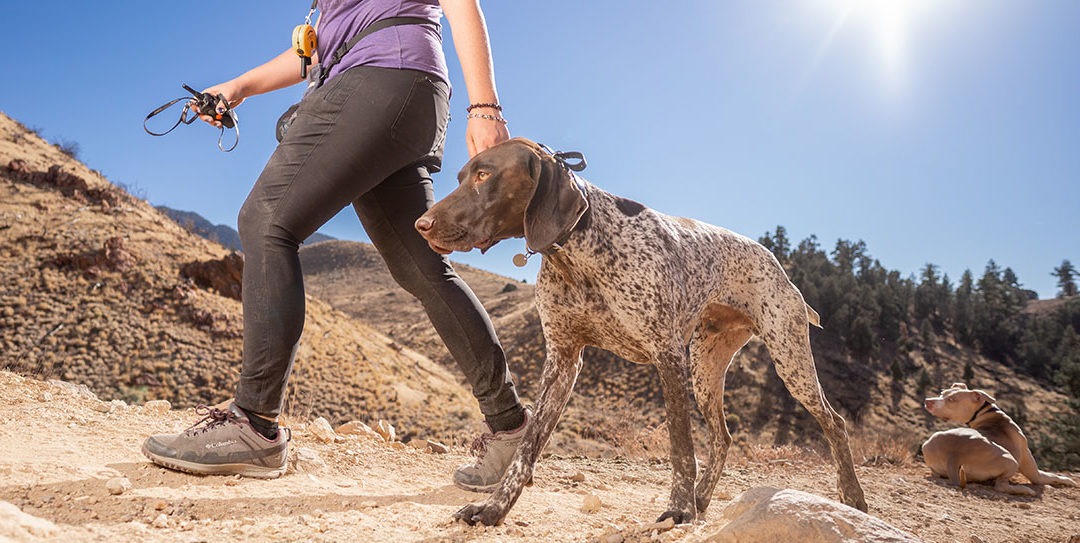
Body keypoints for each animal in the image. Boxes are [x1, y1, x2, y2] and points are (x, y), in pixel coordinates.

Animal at [412, 137, 868, 526]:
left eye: (484, 175)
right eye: (461, 176)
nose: (421, 224)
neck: (580, 252)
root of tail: (776, 263)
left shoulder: (666, 355)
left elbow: (681, 448)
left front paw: (679, 510)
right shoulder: (562, 360)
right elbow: (527, 449)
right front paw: (493, 509)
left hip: (787, 358)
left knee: (834, 423)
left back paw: (852, 497)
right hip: (706, 367)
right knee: (723, 438)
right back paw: (703, 498)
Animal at [924, 384, 1075, 494]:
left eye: (951, 399)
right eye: (942, 393)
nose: (927, 401)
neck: (988, 415)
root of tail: (954, 454)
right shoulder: (1035, 473)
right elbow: (1052, 476)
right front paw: (1068, 480)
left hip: (930, 443)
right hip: (1010, 461)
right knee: (1000, 486)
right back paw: (1024, 490)